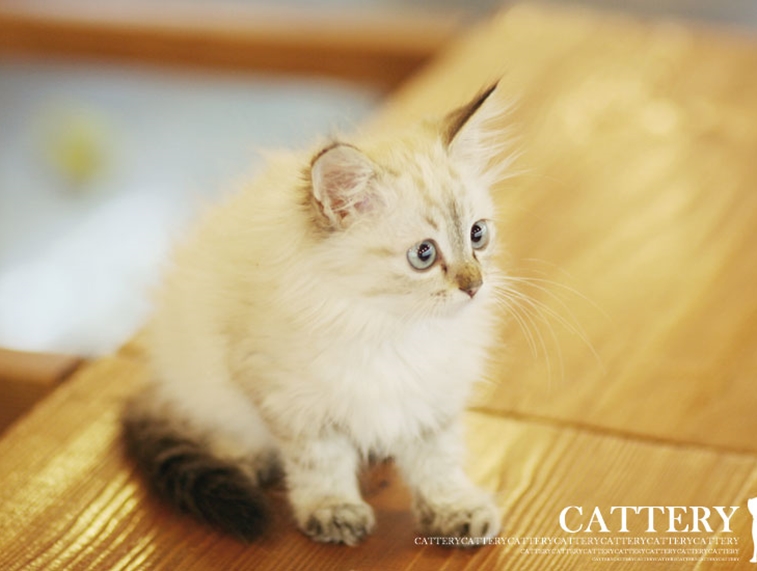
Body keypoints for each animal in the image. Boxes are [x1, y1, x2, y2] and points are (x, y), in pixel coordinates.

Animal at [123, 83, 510, 545]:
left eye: (477, 234)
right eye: (424, 255)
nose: (474, 285)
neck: (390, 326)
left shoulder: (433, 396)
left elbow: (439, 461)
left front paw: (453, 509)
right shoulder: (291, 400)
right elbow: (320, 463)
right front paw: (333, 510)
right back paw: (246, 460)